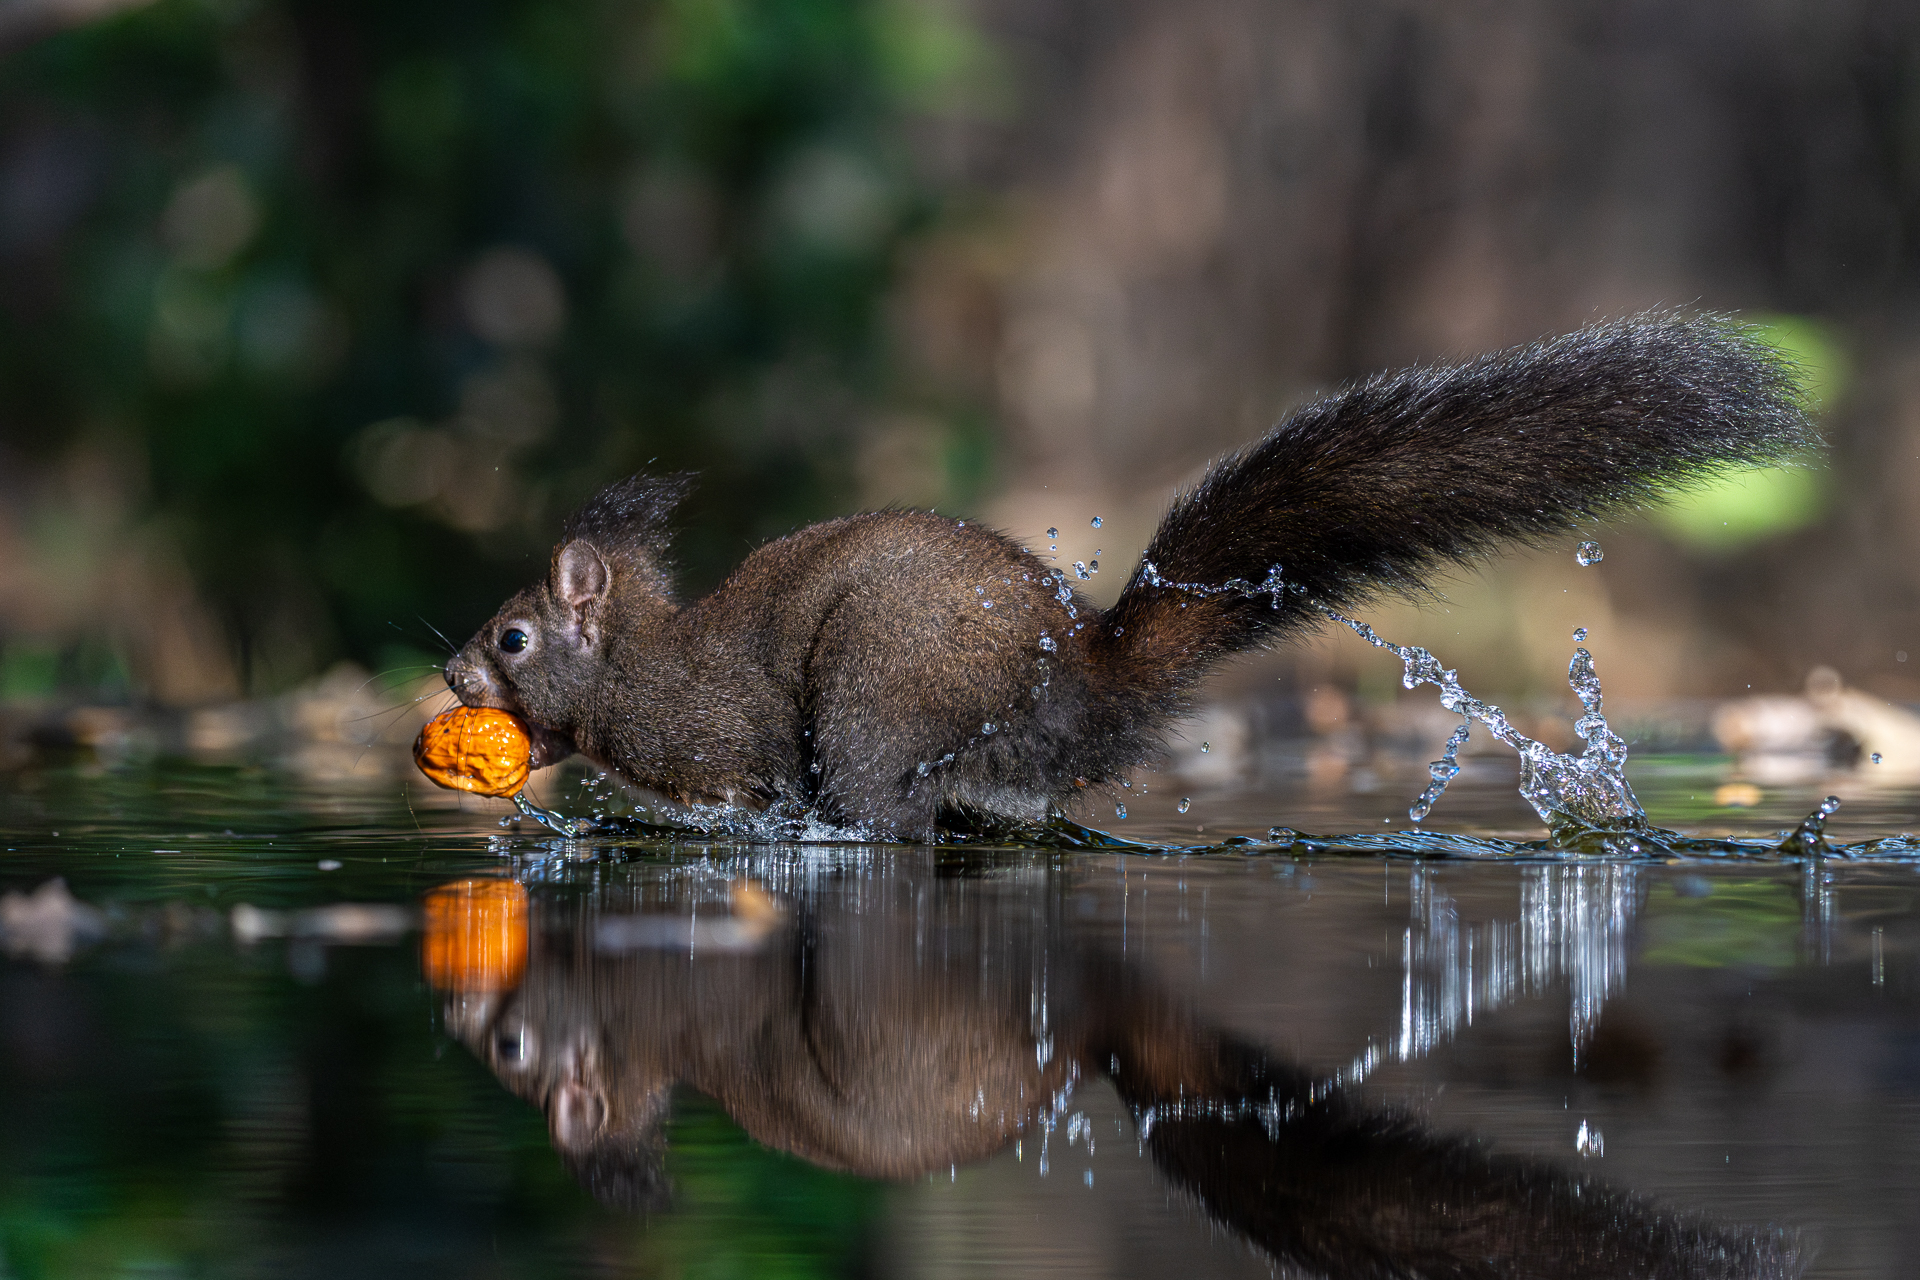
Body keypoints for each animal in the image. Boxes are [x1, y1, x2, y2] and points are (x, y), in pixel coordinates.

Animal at [444, 313, 1812, 834]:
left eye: (513, 636)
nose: (448, 671)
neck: (638, 664)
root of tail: (1083, 681)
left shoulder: (719, 729)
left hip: (880, 698)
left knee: (881, 814)